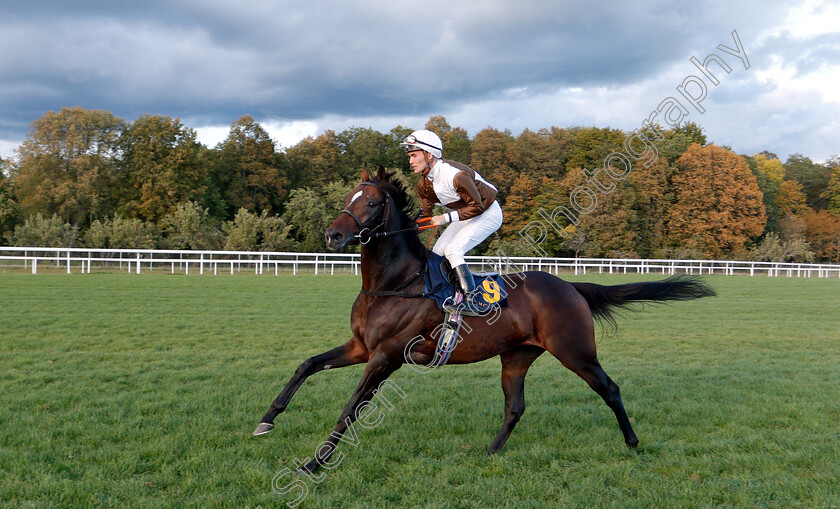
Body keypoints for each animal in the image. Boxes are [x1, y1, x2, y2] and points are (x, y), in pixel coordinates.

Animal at [254, 165, 716, 470]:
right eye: (348, 197)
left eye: (370, 202)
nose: (333, 235)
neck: (394, 282)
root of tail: (569, 285)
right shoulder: (360, 346)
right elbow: (306, 365)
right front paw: (266, 421)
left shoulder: (386, 356)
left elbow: (350, 408)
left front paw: (313, 464)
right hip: (517, 356)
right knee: (515, 406)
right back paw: (491, 451)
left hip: (576, 351)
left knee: (610, 388)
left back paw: (633, 442)